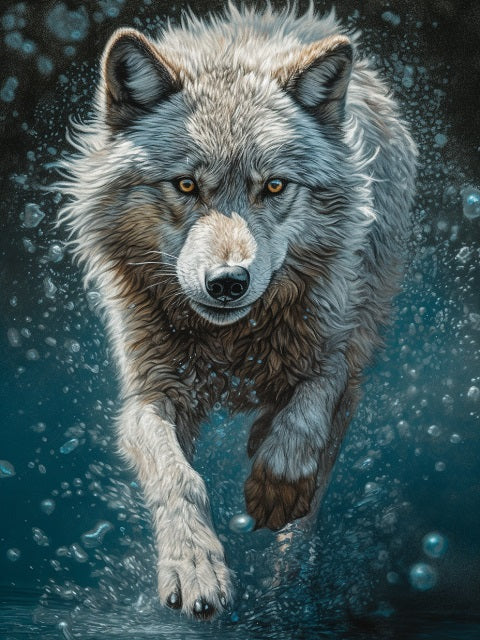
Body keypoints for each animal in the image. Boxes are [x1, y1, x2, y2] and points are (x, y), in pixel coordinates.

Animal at [57, 2, 417, 621]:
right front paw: (194, 567)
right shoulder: (148, 394)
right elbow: (178, 479)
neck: (229, 345)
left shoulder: (336, 351)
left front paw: (274, 485)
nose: (228, 282)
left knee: (317, 480)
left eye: (273, 186)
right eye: (185, 185)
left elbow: (308, 414)